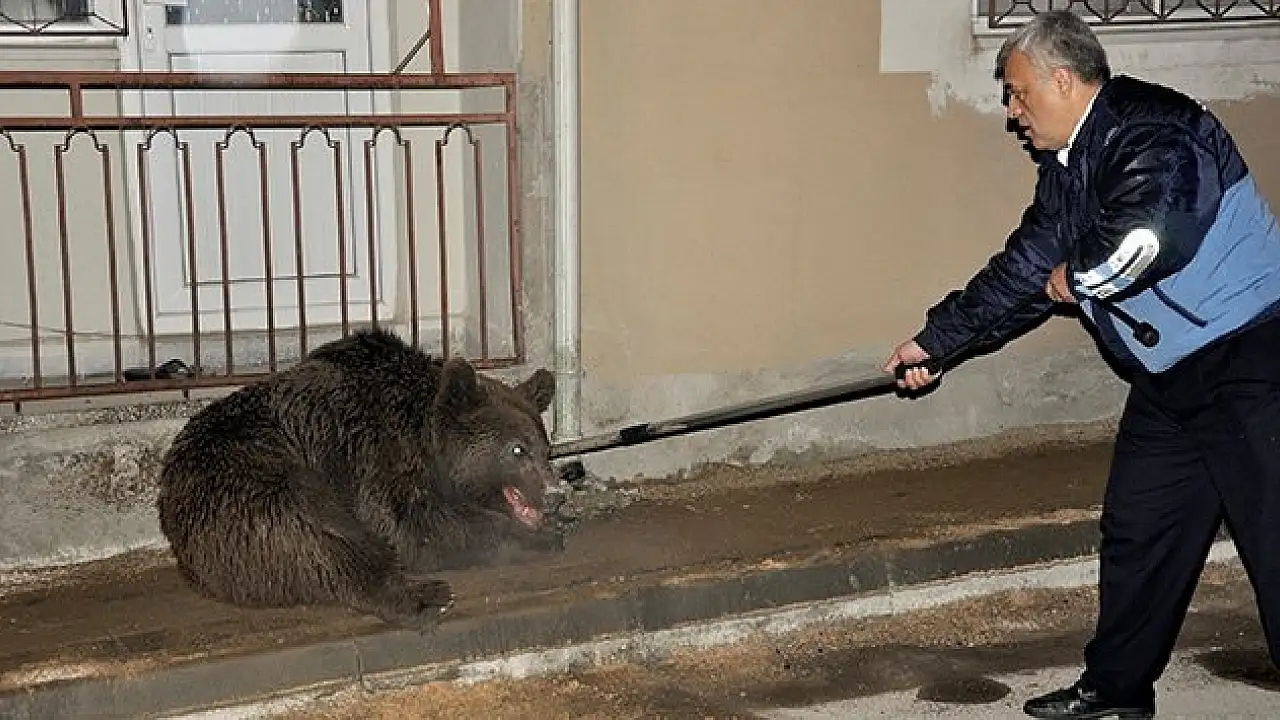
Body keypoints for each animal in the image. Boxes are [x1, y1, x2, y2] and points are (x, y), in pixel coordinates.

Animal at [155, 327, 567, 630]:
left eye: (546, 448)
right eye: (517, 449)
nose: (554, 494)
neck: (425, 443)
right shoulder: (374, 455)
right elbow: (410, 528)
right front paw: (536, 536)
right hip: (252, 486)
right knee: (321, 534)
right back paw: (424, 598)